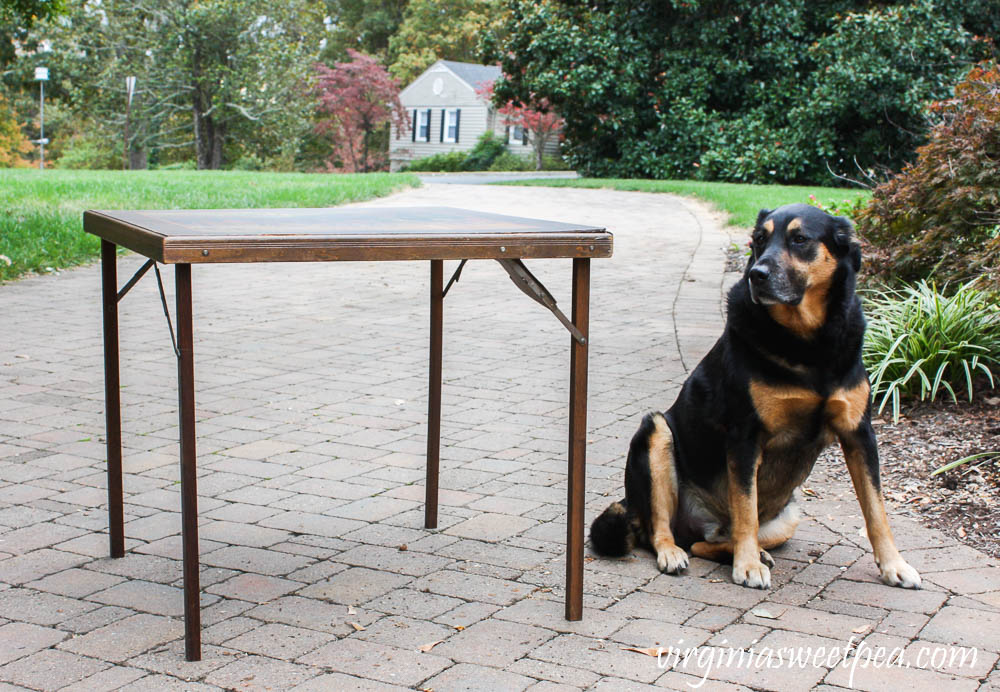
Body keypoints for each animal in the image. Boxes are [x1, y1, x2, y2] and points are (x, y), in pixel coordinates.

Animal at [592, 200, 920, 588]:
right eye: (759, 240)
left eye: (799, 239)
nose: (757, 274)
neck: (808, 343)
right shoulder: (745, 435)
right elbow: (745, 508)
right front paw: (747, 565)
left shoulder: (859, 433)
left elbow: (876, 509)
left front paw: (895, 564)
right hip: (655, 432)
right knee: (663, 529)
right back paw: (679, 552)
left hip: (789, 515)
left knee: (708, 542)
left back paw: (750, 551)